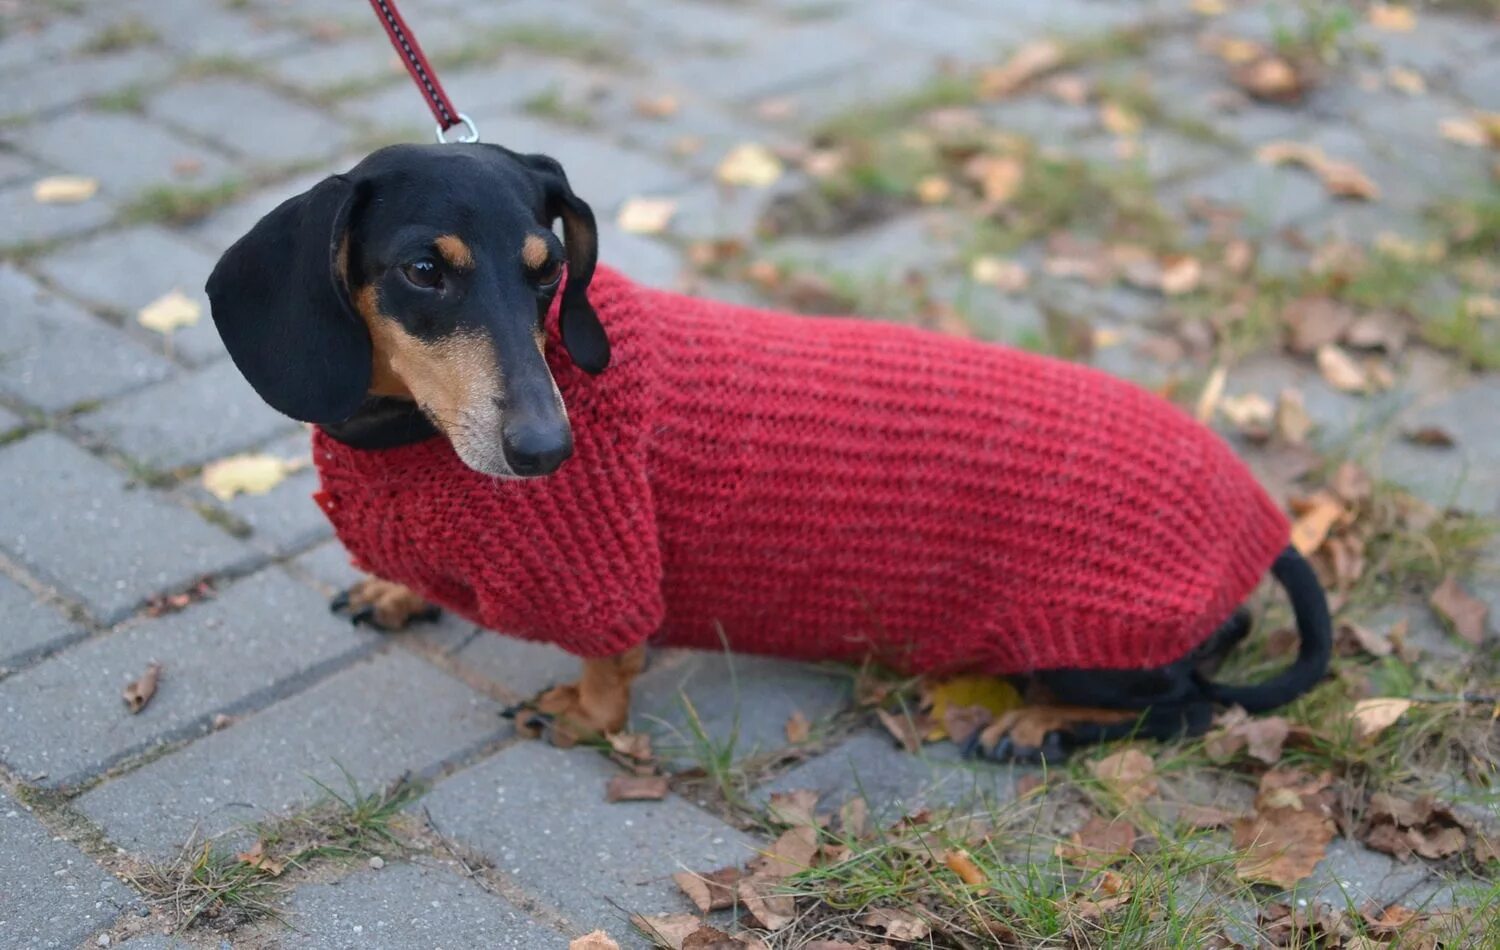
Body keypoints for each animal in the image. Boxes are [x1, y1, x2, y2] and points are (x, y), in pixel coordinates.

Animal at [205, 142, 1332, 762]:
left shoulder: (612, 574)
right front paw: (394, 590)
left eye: (548, 270)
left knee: (1185, 706)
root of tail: (1260, 519)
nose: (546, 448)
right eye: (422, 271)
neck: (409, 439)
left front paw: (585, 711)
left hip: (1088, 636)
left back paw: (1034, 723)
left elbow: (611, 654)